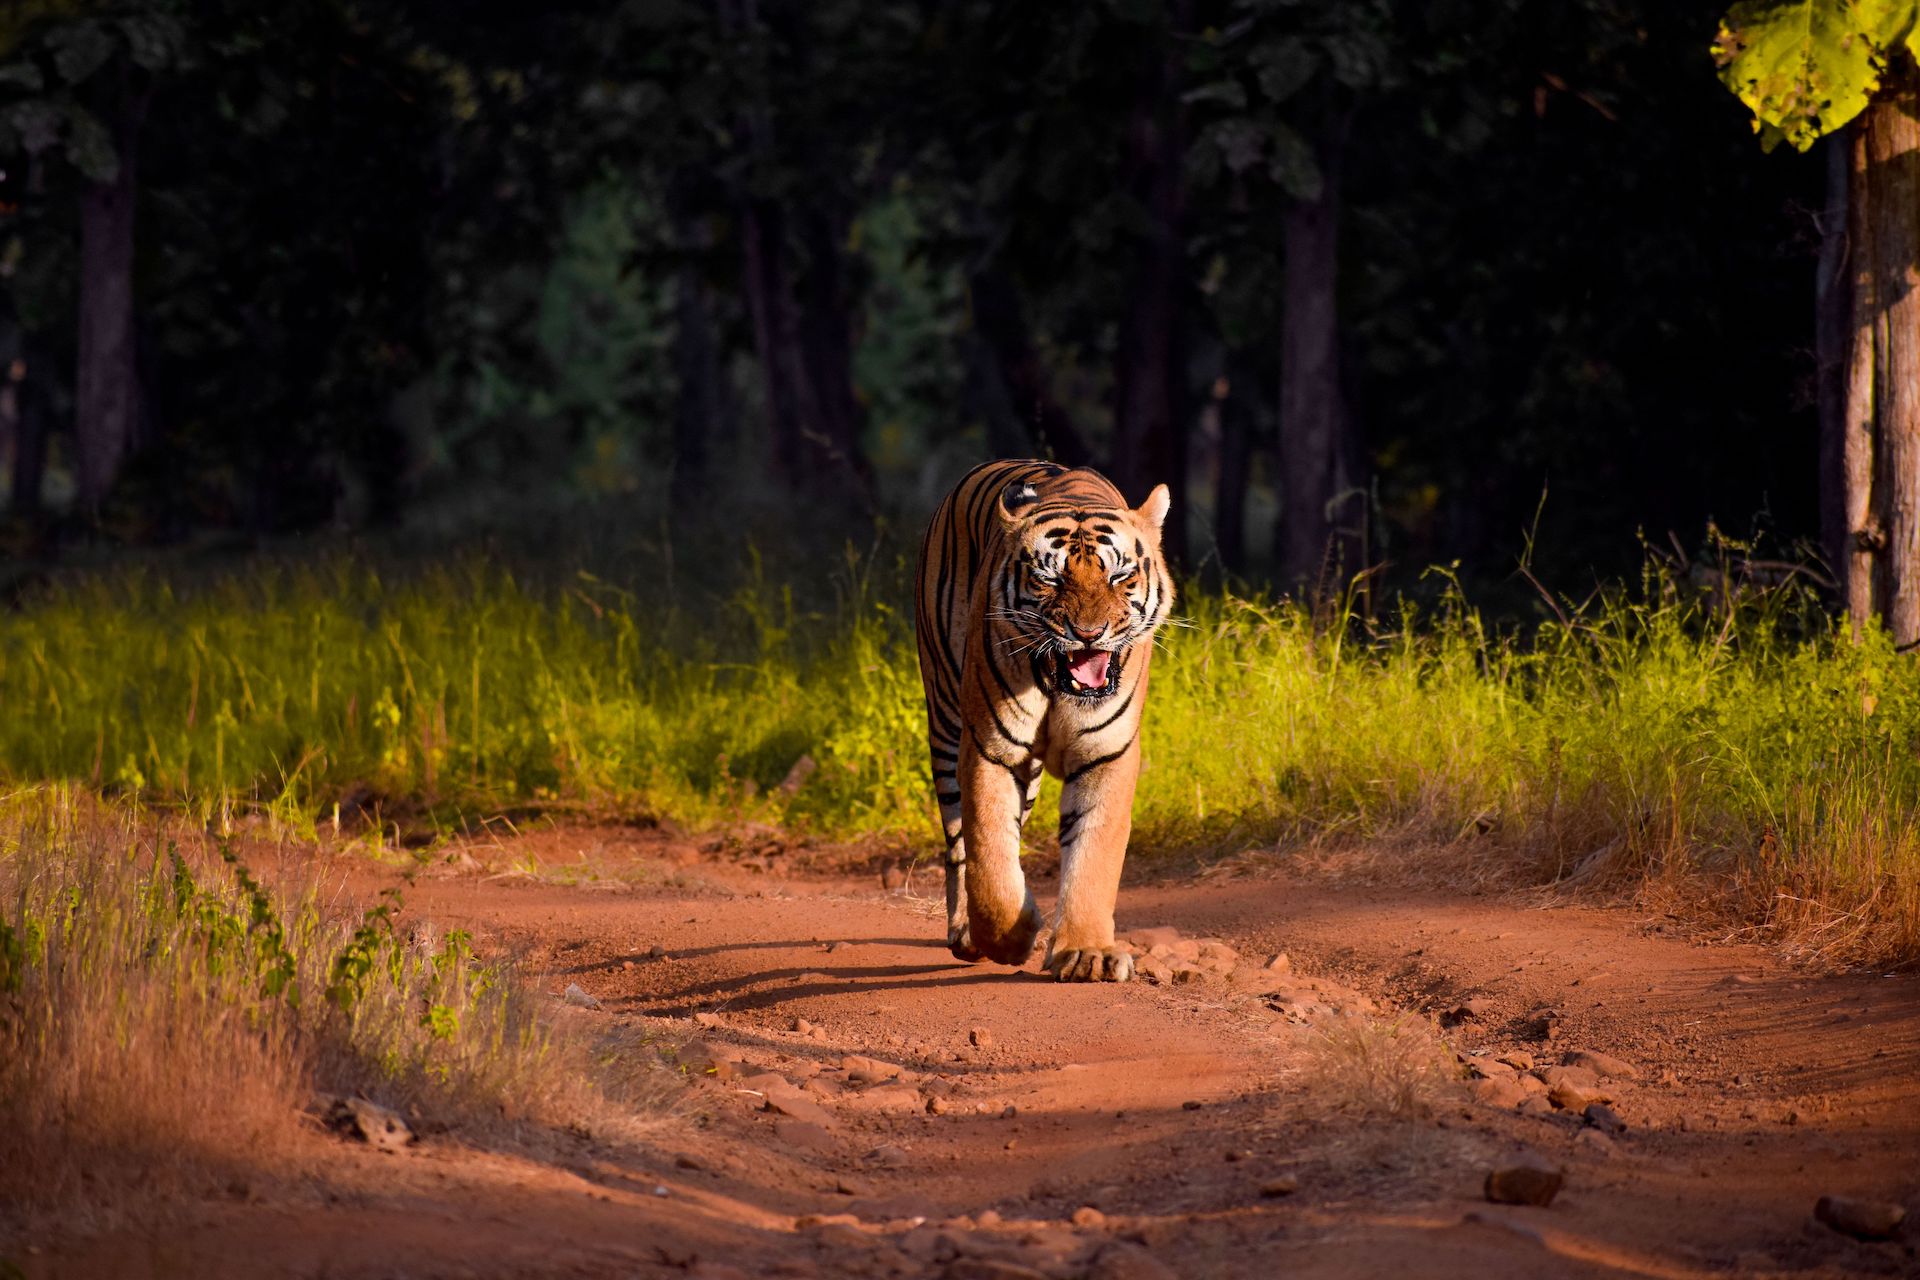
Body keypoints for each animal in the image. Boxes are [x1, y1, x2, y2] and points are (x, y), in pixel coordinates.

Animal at [913, 459, 1174, 983]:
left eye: (1119, 576)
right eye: (1049, 580)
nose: (1088, 633)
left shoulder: (1106, 755)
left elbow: (1093, 854)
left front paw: (1088, 953)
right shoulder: (991, 749)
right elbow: (989, 855)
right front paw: (1010, 938)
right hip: (946, 721)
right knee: (959, 842)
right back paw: (965, 932)